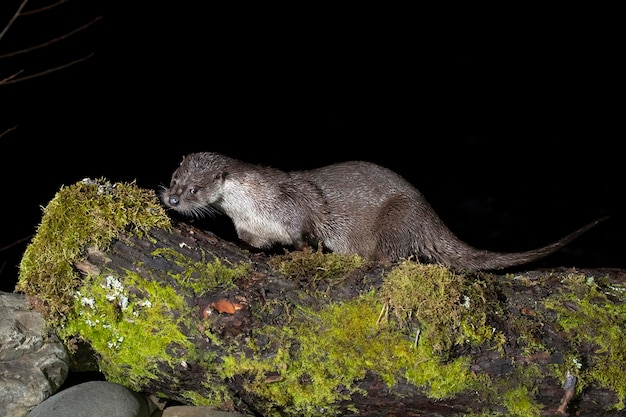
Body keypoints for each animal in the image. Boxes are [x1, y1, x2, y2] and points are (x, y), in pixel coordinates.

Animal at [162, 151, 604, 272]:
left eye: (195, 188)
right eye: (174, 176)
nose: (173, 199)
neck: (254, 204)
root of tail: (428, 213)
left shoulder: (295, 206)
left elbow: (307, 235)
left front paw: (302, 252)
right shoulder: (249, 226)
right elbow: (254, 242)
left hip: (398, 217)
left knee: (394, 254)